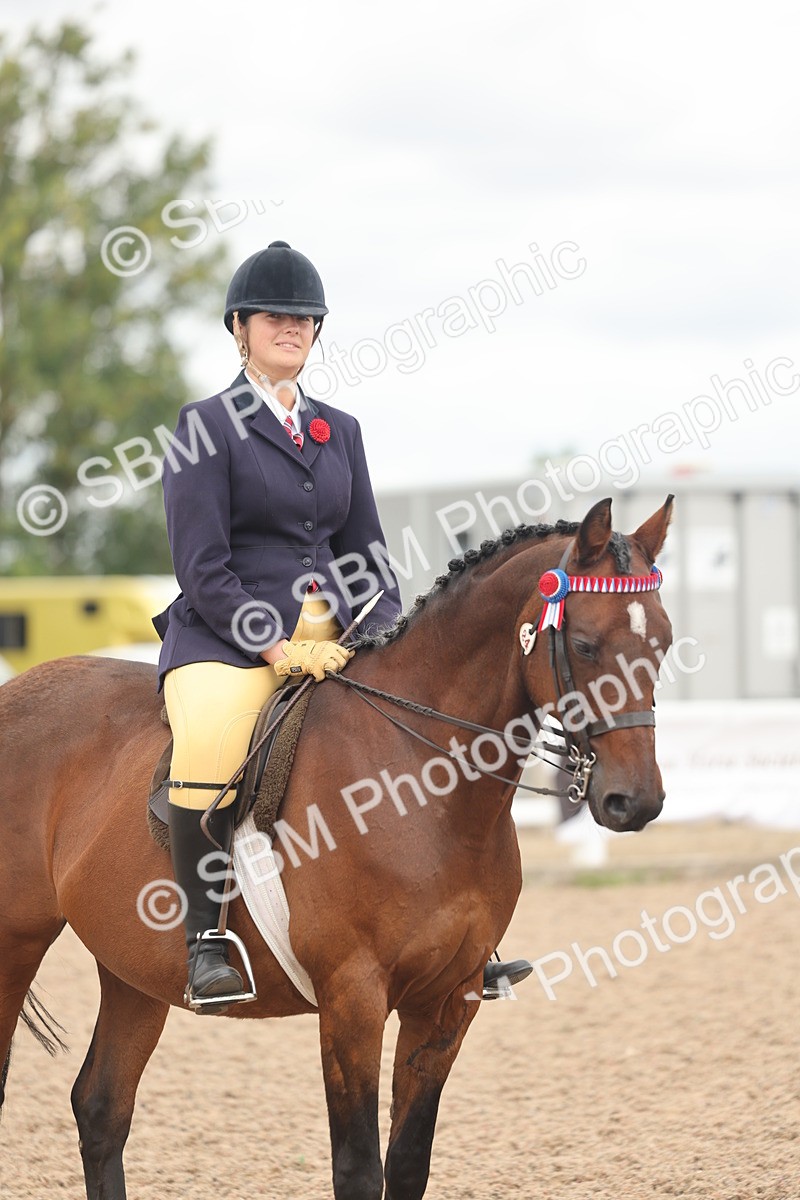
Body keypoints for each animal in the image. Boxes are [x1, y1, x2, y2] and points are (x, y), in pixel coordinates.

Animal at [0, 495, 673, 1200]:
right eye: (586, 645)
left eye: (664, 642)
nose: (636, 801)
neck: (420, 782)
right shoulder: (353, 997)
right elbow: (358, 1166)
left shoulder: (448, 1001)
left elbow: (408, 1162)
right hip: (14, 944)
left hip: (133, 970)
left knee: (101, 1107)